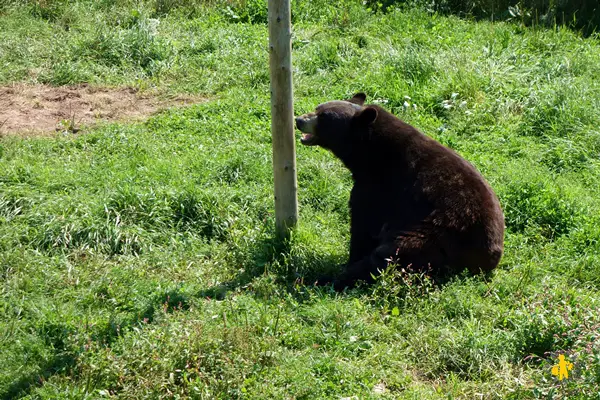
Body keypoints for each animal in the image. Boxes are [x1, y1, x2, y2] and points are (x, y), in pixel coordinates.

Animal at [298, 92, 504, 290]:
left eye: (323, 117)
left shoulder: (380, 188)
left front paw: (349, 261)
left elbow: (363, 225)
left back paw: (323, 280)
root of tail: (488, 259)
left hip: (437, 235)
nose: (299, 120)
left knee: (388, 255)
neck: (370, 154)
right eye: (318, 107)